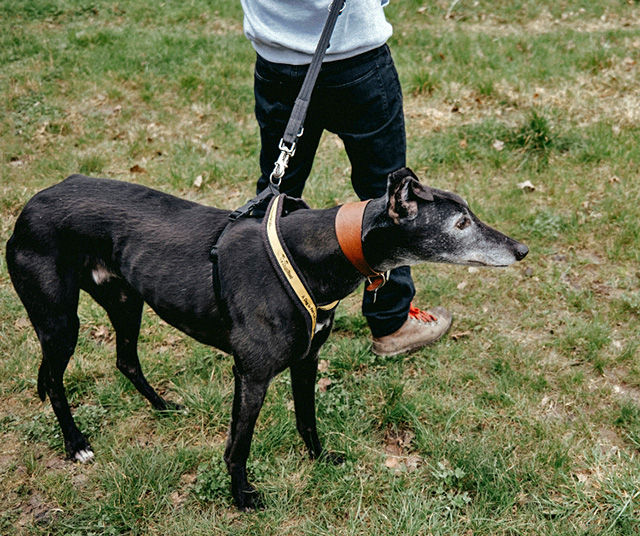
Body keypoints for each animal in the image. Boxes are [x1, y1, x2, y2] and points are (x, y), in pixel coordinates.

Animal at [6, 169, 528, 510]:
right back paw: (76, 444)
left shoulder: (307, 359)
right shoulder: (252, 374)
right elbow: (238, 447)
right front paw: (242, 498)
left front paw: (321, 460)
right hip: (60, 321)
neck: (314, 253)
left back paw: (163, 407)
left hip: (124, 300)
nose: (522, 249)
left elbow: (307, 419)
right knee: (56, 382)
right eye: (460, 224)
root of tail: (32, 202)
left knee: (125, 360)